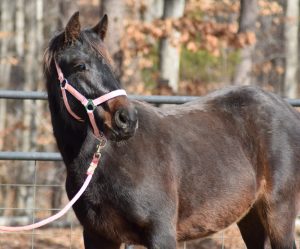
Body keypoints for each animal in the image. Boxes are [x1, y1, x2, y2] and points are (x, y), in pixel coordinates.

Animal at [44, 11, 300, 249]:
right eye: (80, 66)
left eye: (110, 66)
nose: (126, 119)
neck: (105, 160)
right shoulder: (98, 236)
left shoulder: (161, 234)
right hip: (251, 217)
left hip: (278, 215)